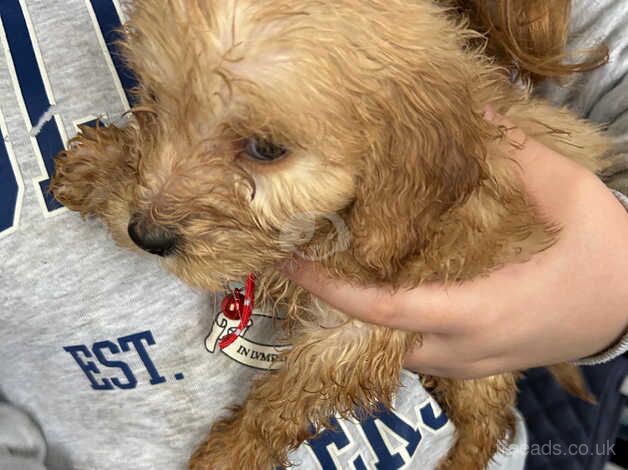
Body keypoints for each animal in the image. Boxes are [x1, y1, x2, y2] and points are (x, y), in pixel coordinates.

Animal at [52, 1, 608, 468]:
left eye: (265, 149)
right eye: (152, 99)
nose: (147, 234)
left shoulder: (364, 323)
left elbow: (283, 401)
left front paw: (229, 453)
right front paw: (99, 170)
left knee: (490, 420)